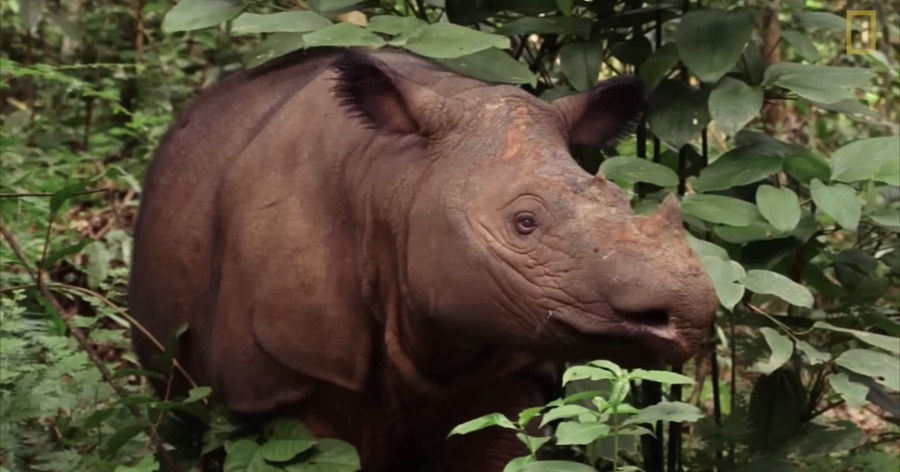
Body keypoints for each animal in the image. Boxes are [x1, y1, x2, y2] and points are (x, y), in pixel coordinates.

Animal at [128, 48, 716, 472]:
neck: (398, 182)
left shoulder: (511, 365)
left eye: (619, 198)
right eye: (524, 224)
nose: (689, 312)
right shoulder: (279, 381)